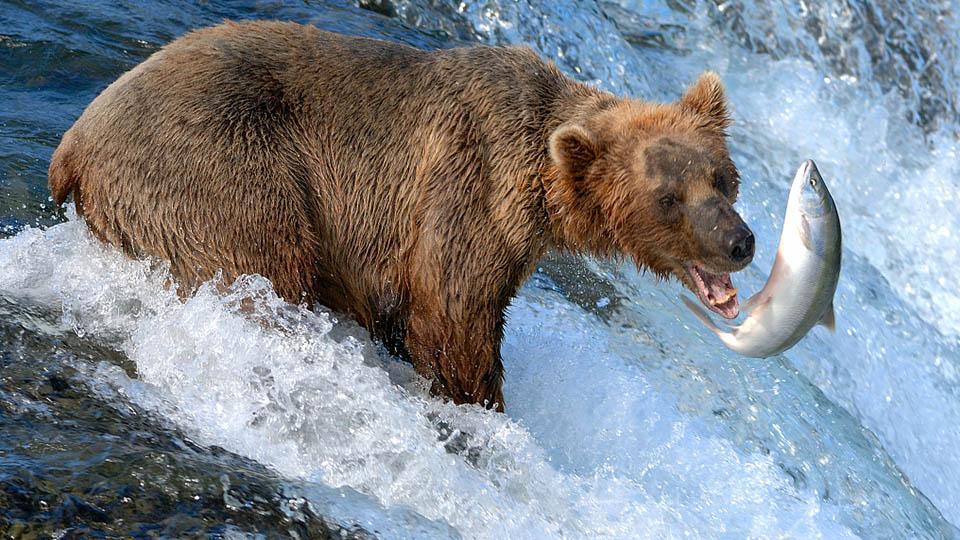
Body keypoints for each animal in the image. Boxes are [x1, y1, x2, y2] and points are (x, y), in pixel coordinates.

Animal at [50, 20, 756, 410]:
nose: (740, 242)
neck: (540, 187)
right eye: (668, 197)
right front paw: (479, 404)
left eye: (723, 179)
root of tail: (74, 143)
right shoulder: (464, 192)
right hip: (220, 164)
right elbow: (452, 319)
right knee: (257, 266)